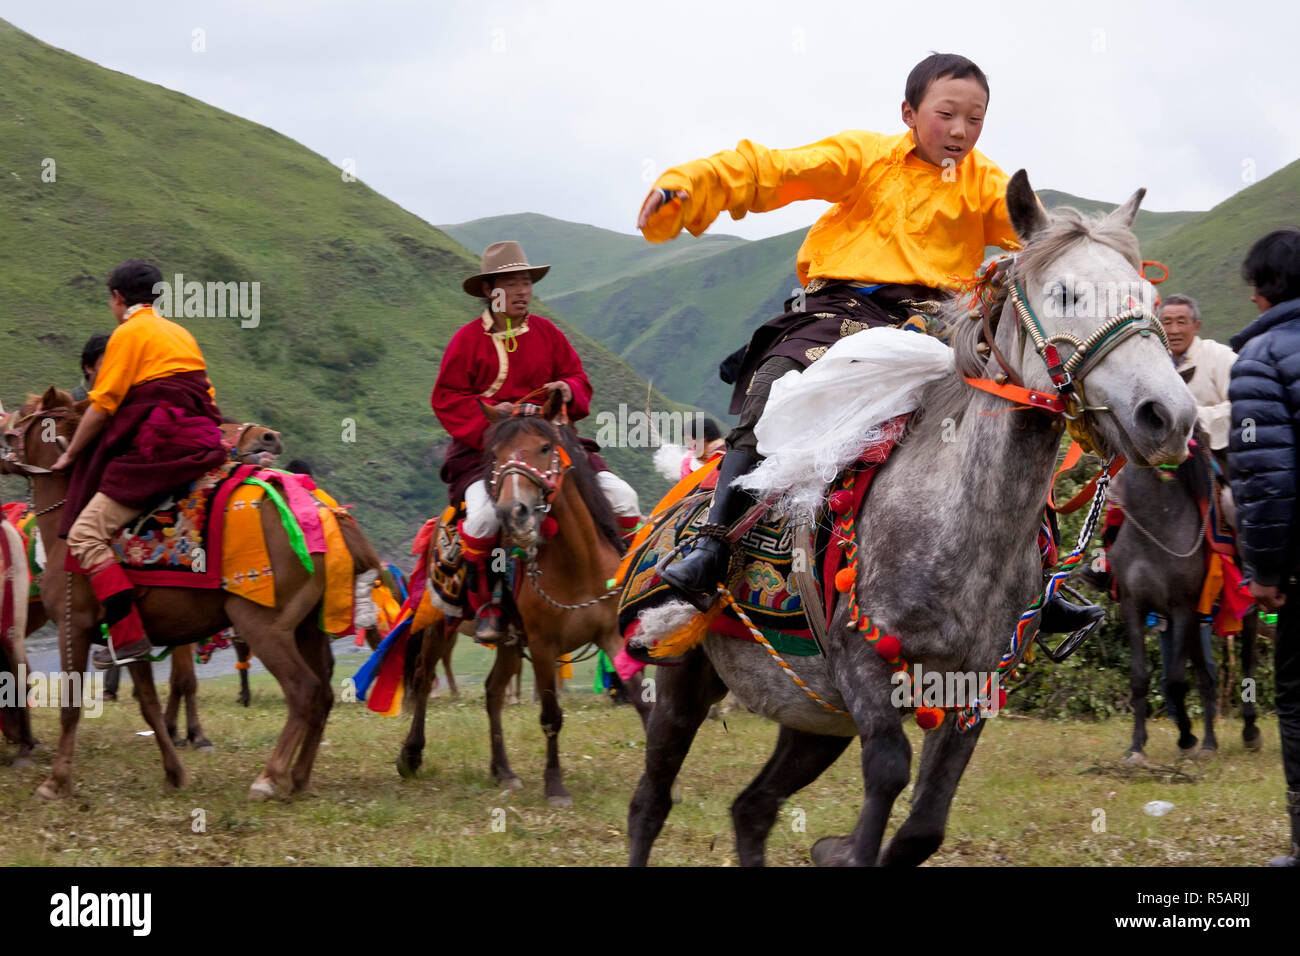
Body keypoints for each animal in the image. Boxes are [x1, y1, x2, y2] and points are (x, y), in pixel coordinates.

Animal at [1, 390, 379, 801]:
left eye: (12, 428)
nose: (269, 438)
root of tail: (327, 514)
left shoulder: (76, 623)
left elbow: (71, 705)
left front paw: (55, 782)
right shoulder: (129, 635)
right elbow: (149, 704)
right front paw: (175, 773)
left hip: (264, 625)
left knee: (303, 690)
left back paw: (269, 777)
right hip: (306, 628)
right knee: (322, 694)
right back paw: (298, 778)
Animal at [395, 395, 644, 806]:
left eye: (544, 447)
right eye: (494, 454)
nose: (514, 513)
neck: (578, 562)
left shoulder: (610, 635)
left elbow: (642, 700)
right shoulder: (544, 646)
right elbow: (551, 715)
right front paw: (555, 786)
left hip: (509, 641)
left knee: (493, 691)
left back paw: (503, 771)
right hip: (440, 623)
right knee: (423, 677)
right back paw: (411, 756)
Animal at [624, 171, 1190, 868]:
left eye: (1149, 295)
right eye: (1065, 291)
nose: (1168, 415)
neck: (963, 528)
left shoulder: (975, 686)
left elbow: (924, 824)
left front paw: (835, 850)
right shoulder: (863, 661)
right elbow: (891, 771)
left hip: (815, 717)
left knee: (751, 808)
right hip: (684, 678)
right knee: (651, 803)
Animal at [1107, 429, 1258, 764]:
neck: (1155, 521)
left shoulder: (1182, 607)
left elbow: (1176, 681)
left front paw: (1187, 737)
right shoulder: (1133, 607)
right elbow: (1140, 677)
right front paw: (1136, 746)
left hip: (1239, 610)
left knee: (1246, 661)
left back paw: (1249, 731)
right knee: (1206, 677)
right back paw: (1210, 743)